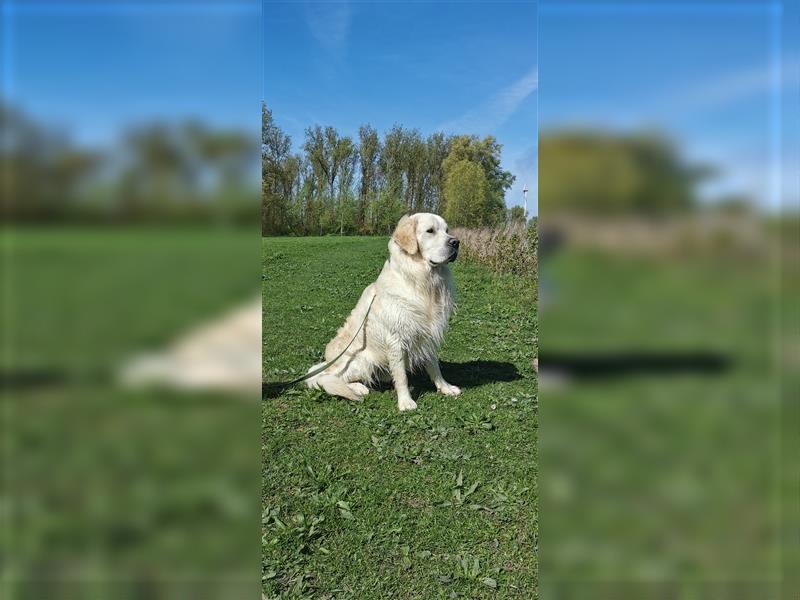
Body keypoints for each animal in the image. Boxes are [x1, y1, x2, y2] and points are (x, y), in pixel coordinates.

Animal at [310, 212, 466, 412]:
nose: (456, 242)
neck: (421, 281)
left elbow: (434, 366)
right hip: (362, 361)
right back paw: (358, 388)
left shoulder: (428, 334)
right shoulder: (396, 339)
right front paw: (405, 401)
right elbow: (401, 376)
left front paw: (445, 387)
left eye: (447, 230)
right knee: (329, 378)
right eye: (430, 231)